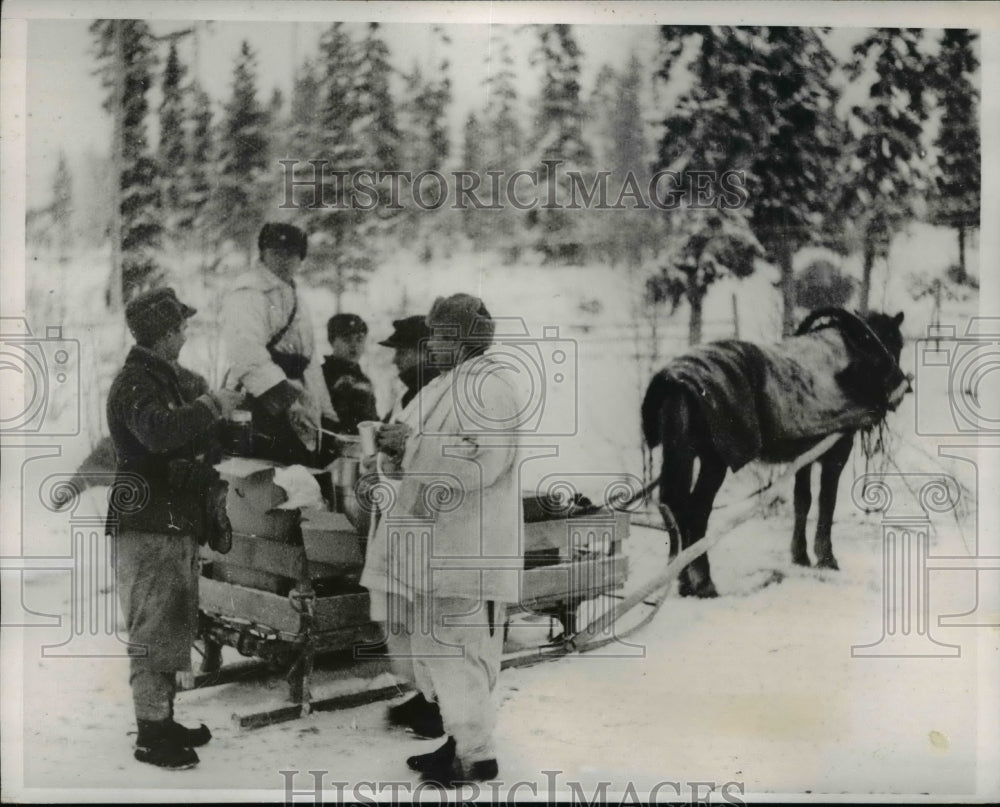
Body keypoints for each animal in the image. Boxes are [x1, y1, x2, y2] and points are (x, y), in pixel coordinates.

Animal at [644, 310, 912, 600]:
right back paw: (704, 583)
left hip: (685, 456)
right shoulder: (835, 453)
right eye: (898, 343)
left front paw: (800, 555)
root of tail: (675, 381)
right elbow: (826, 502)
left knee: (675, 507)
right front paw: (826, 557)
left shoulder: (804, 454)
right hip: (714, 462)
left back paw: (683, 581)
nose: (901, 391)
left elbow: (802, 500)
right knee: (696, 510)